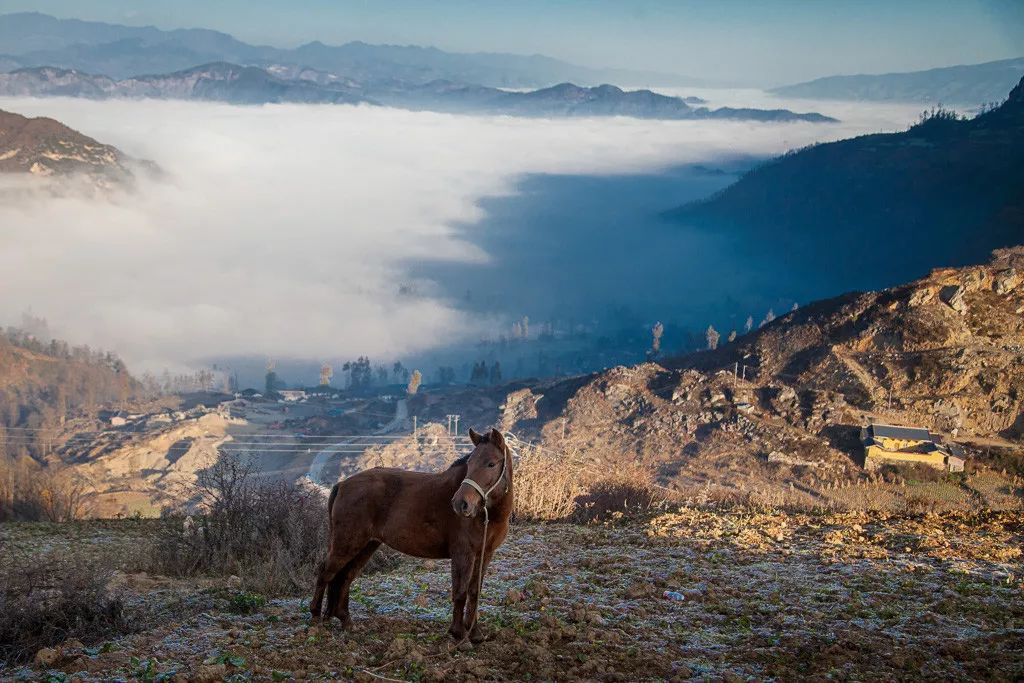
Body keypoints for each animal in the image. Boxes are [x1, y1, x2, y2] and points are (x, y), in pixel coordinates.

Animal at [305, 423, 509, 643]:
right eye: (469, 464)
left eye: (491, 464)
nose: (461, 504)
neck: (487, 514)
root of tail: (342, 485)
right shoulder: (463, 554)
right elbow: (460, 592)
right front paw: (459, 635)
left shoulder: (484, 554)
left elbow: (474, 591)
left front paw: (475, 634)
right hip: (346, 544)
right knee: (326, 573)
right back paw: (316, 618)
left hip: (366, 545)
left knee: (345, 577)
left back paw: (346, 621)